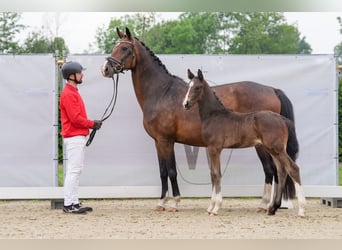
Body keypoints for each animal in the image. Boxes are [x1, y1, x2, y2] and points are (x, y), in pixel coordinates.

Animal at [183, 69, 306, 217]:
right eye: (188, 86)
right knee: (281, 171)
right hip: (273, 150)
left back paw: (301, 210)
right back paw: (272, 208)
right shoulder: (212, 149)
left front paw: (215, 208)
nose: (185, 104)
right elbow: (213, 174)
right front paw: (211, 207)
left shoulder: (214, 148)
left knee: (293, 169)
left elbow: (216, 174)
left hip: (277, 149)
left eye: (197, 87)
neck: (214, 115)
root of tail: (281, 119)